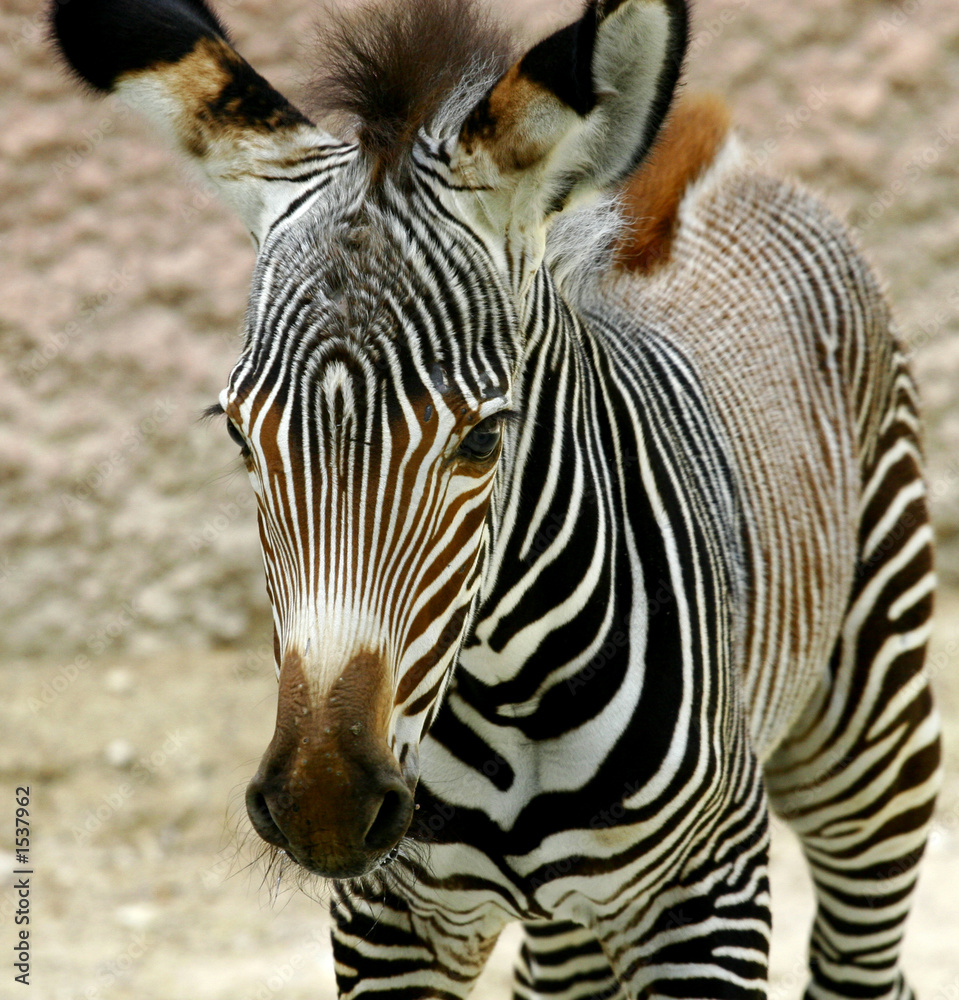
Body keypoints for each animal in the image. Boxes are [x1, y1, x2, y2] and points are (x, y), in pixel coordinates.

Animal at [50, 0, 942, 996]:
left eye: (481, 441)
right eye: (240, 437)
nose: (323, 804)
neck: (509, 688)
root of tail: (718, 166)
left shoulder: (709, 894)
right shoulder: (389, 917)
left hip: (870, 738)